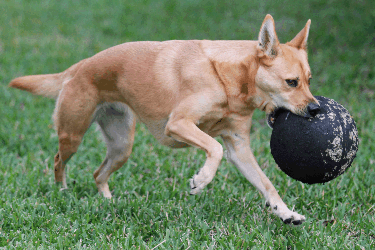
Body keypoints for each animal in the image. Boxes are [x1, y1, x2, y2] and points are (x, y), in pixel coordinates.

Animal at [9, 14, 320, 225]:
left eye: (309, 80)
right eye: (291, 82)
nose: (316, 109)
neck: (229, 77)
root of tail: (78, 67)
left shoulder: (239, 147)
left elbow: (266, 184)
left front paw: (286, 212)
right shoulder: (179, 124)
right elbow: (215, 148)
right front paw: (201, 180)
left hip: (121, 146)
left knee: (98, 174)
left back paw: (108, 203)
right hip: (72, 135)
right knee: (58, 161)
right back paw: (61, 191)